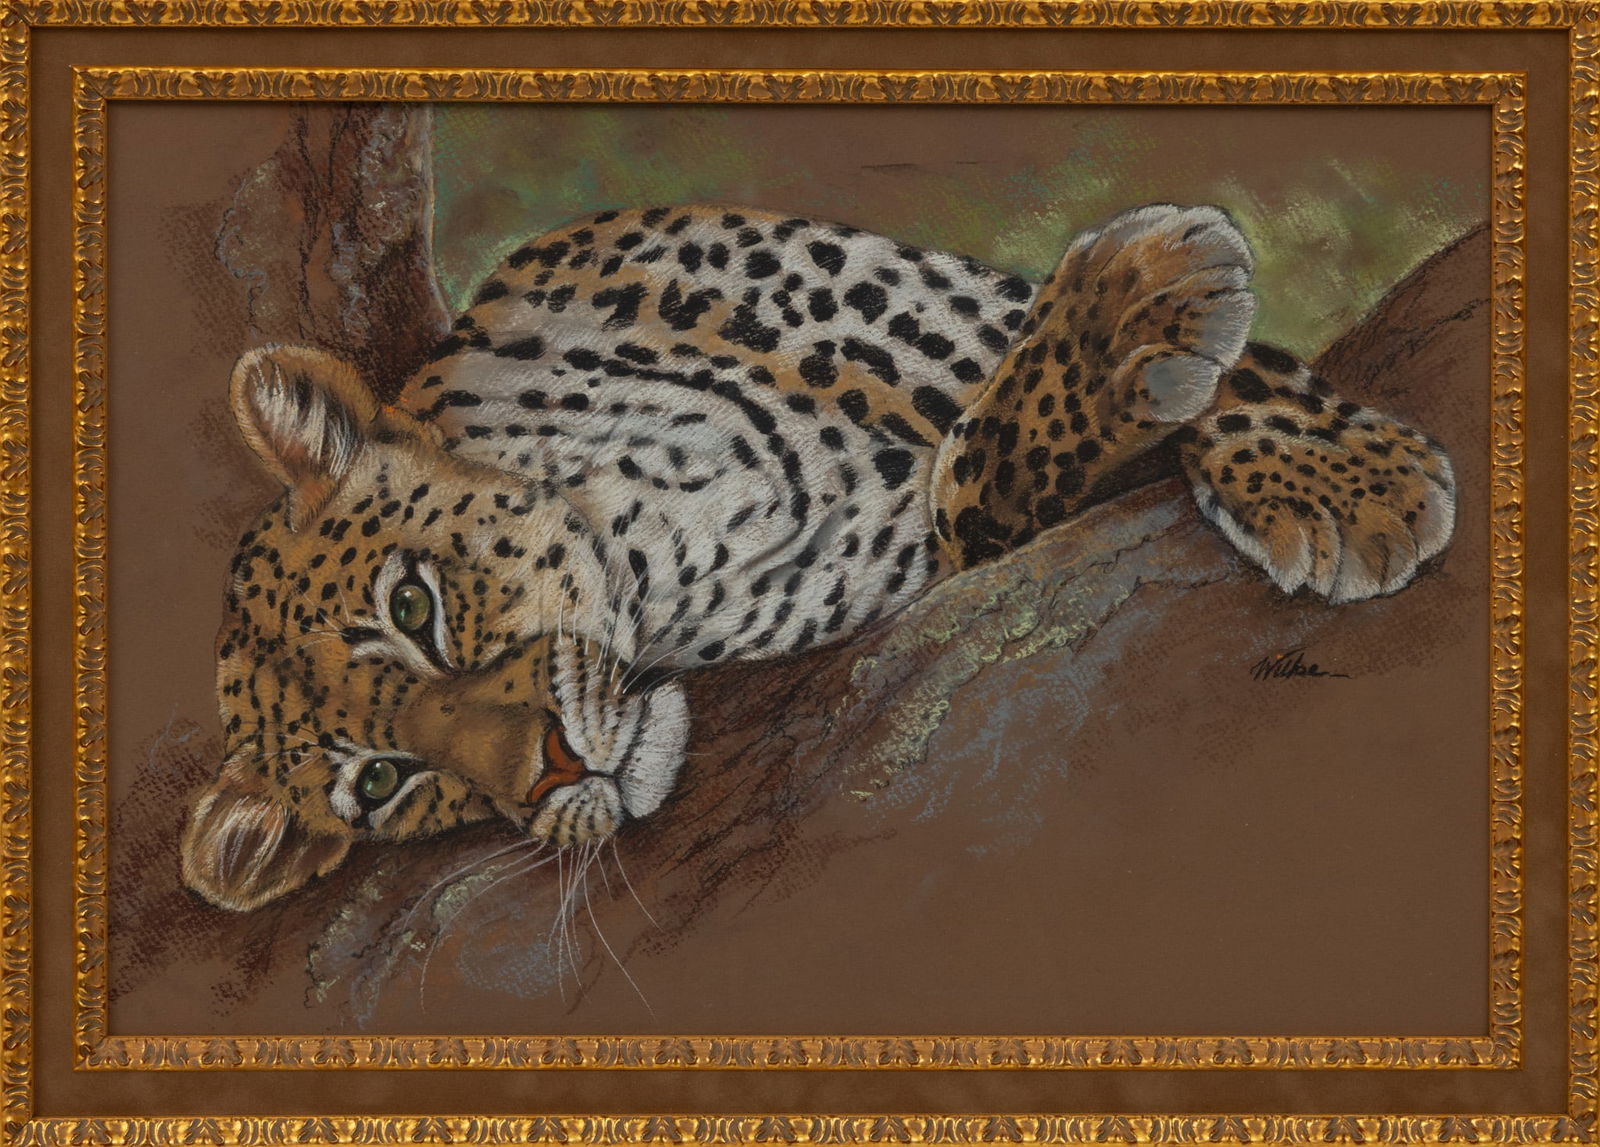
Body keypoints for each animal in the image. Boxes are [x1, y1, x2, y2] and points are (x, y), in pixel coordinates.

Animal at [181, 202, 1457, 911]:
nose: (547, 778)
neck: (685, 554)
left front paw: (1333, 473)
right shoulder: (911, 560)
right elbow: (975, 482)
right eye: (381, 782)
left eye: (414, 605)